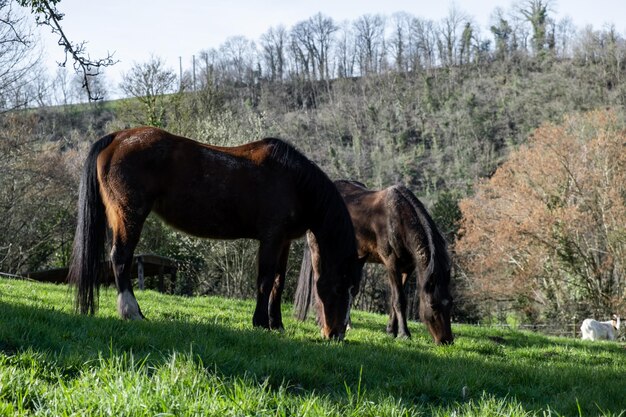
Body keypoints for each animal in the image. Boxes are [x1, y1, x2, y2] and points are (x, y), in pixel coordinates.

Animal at [67, 126, 360, 338]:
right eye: (337, 287)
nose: (336, 334)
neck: (294, 182)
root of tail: (117, 137)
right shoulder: (271, 237)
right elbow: (265, 280)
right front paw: (260, 323)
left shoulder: (284, 240)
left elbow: (278, 281)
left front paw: (276, 324)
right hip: (129, 215)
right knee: (121, 258)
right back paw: (132, 312)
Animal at [294, 180, 450, 344]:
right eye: (433, 305)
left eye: (450, 303)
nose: (447, 340)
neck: (398, 219)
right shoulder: (391, 264)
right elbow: (399, 300)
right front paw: (404, 334)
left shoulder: (407, 269)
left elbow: (395, 299)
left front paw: (391, 331)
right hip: (318, 252)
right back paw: (322, 321)